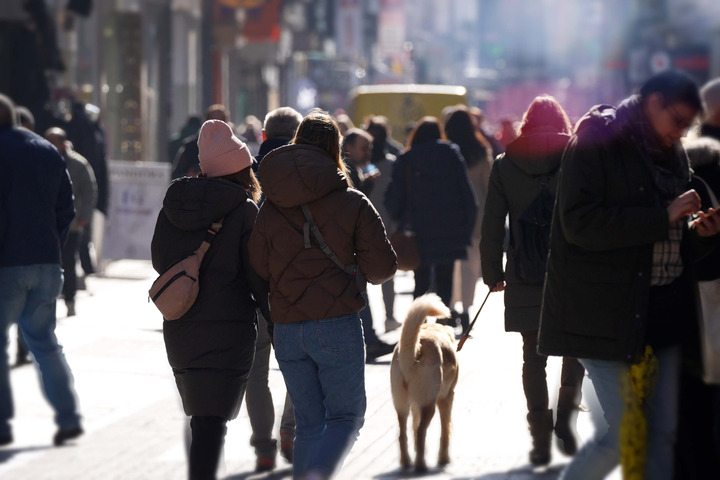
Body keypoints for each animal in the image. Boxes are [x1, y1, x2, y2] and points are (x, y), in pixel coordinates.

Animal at [390, 292, 458, 472]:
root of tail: (417, 349)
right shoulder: (446, 398)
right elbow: (445, 430)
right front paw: (443, 459)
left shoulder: (415, 405)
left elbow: (414, 427)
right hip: (430, 405)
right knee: (421, 432)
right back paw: (420, 465)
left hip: (401, 406)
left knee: (402, 434)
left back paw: (407, 462)